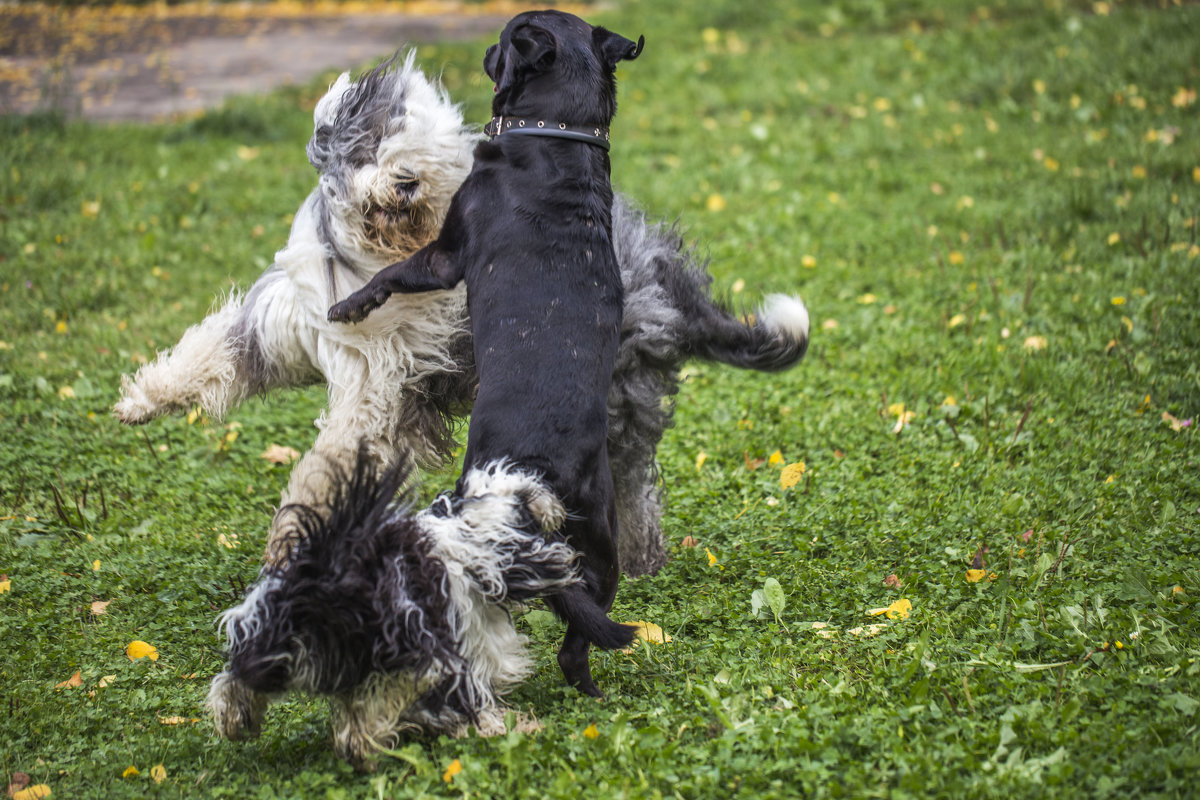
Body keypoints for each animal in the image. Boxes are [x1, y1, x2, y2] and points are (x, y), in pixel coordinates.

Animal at [112, 50, 811, 582]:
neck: (378, 255)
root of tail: (663, 269)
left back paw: (632, 561)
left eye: (431, 152)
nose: (407, 181)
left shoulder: (378, 386)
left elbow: (332, 462)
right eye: (374, 142)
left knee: (632, 485)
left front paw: (294, 545)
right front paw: (141, 400)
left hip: (609, 396)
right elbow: (213, 349)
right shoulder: (286, 322)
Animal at [328, 10, 648, 700]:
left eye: (507, 35)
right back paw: (588, 691)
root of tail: (538, 475)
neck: (557, 135)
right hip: (600, 550)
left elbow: (389, 274)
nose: (487, 45)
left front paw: (350, 305)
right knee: (578, 632)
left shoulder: (444, 257)